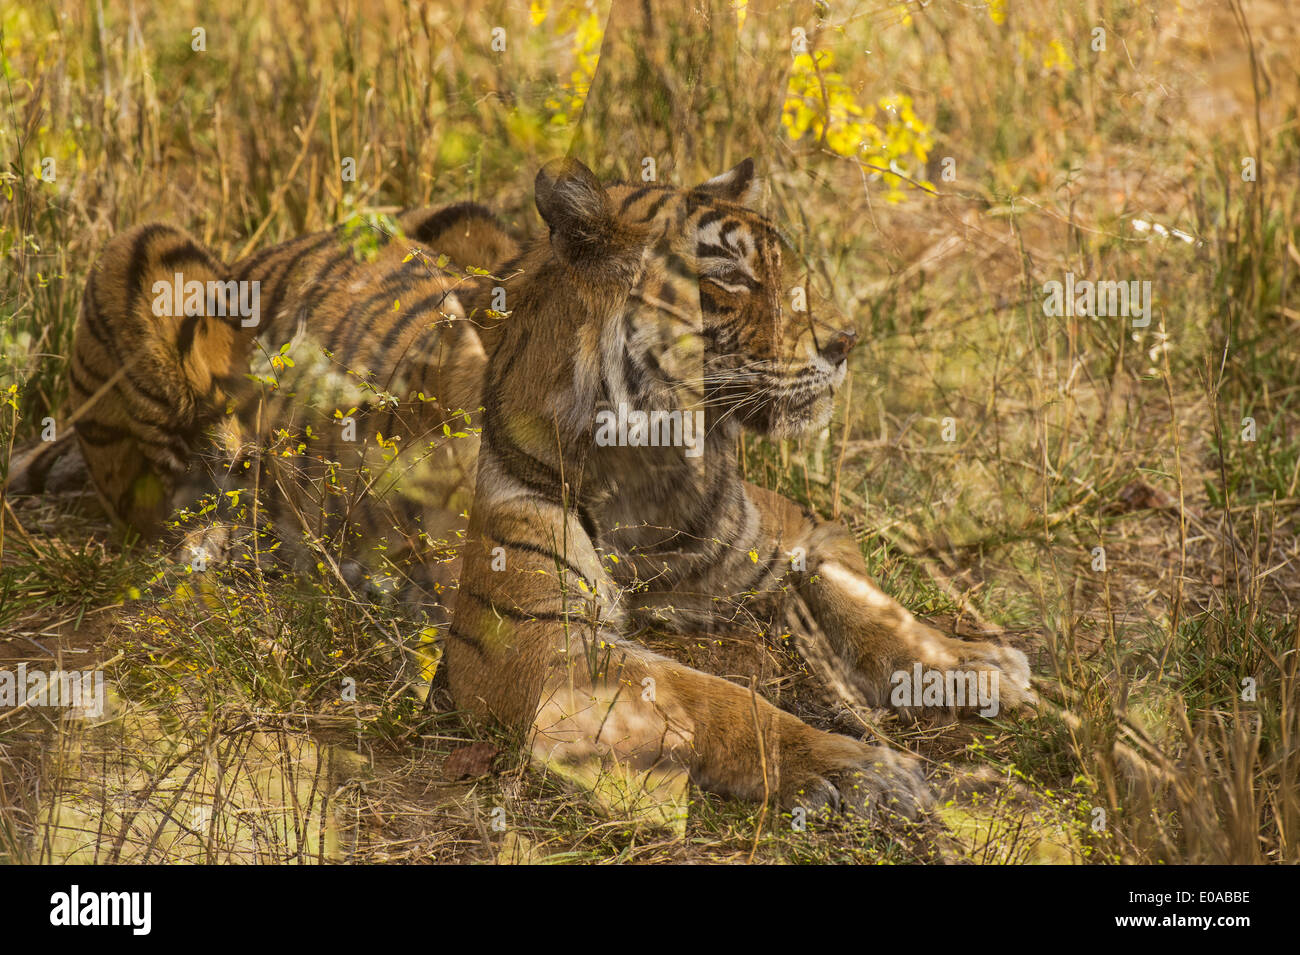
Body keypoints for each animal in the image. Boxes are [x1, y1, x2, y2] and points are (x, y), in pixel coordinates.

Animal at [53, 155, 1034, 821]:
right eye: (729, 272)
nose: (846, 341)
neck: (661, 464)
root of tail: (287, 239)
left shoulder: (787, 531)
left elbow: (870, 605)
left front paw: (978, 663)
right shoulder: (547, 656)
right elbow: (725, 700)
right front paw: (860, 767)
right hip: (147, 253)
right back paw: (220, 539)